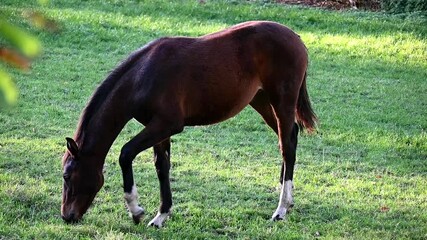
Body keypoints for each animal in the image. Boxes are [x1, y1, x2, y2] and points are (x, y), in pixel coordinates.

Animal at [62, 20, 318, 227]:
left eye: (66, 176)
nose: (66, 216)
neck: (144, 75)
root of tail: (295, 37)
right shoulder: (159, 129)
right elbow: (162, 167)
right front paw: (161, 216)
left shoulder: (167, 124)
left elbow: (125, 153)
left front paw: (136, 210)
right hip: (262, 100)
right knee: (288, 137)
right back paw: (287, 197)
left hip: (282, 101)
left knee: (287, 146)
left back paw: (281, 209)